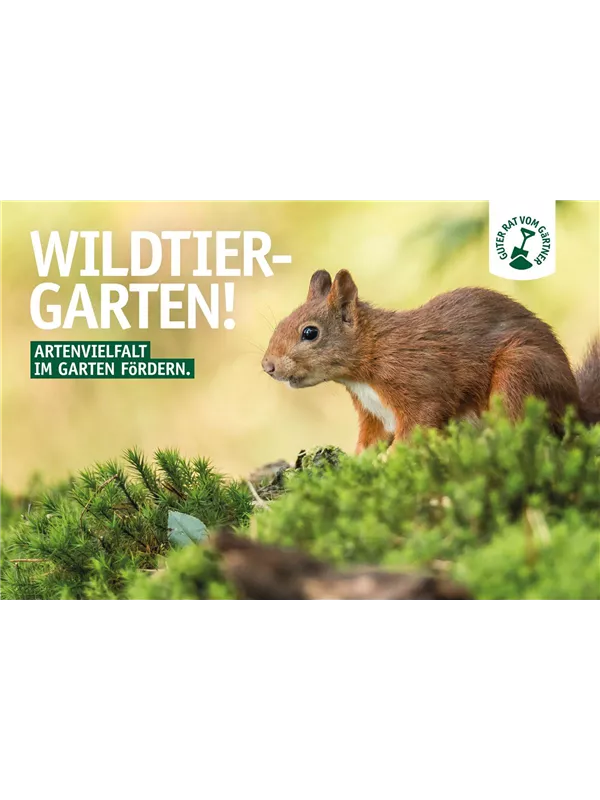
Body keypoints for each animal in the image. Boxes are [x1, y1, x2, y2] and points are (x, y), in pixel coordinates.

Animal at [262, 269, 600, 453]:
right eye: (281, 323)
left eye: (310, 332)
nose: (268, 366)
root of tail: (576, 403)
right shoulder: (373, 415)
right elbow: (368, 442)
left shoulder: (421, 387)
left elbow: (417, 427)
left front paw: (387, 461)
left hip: (520, 369)